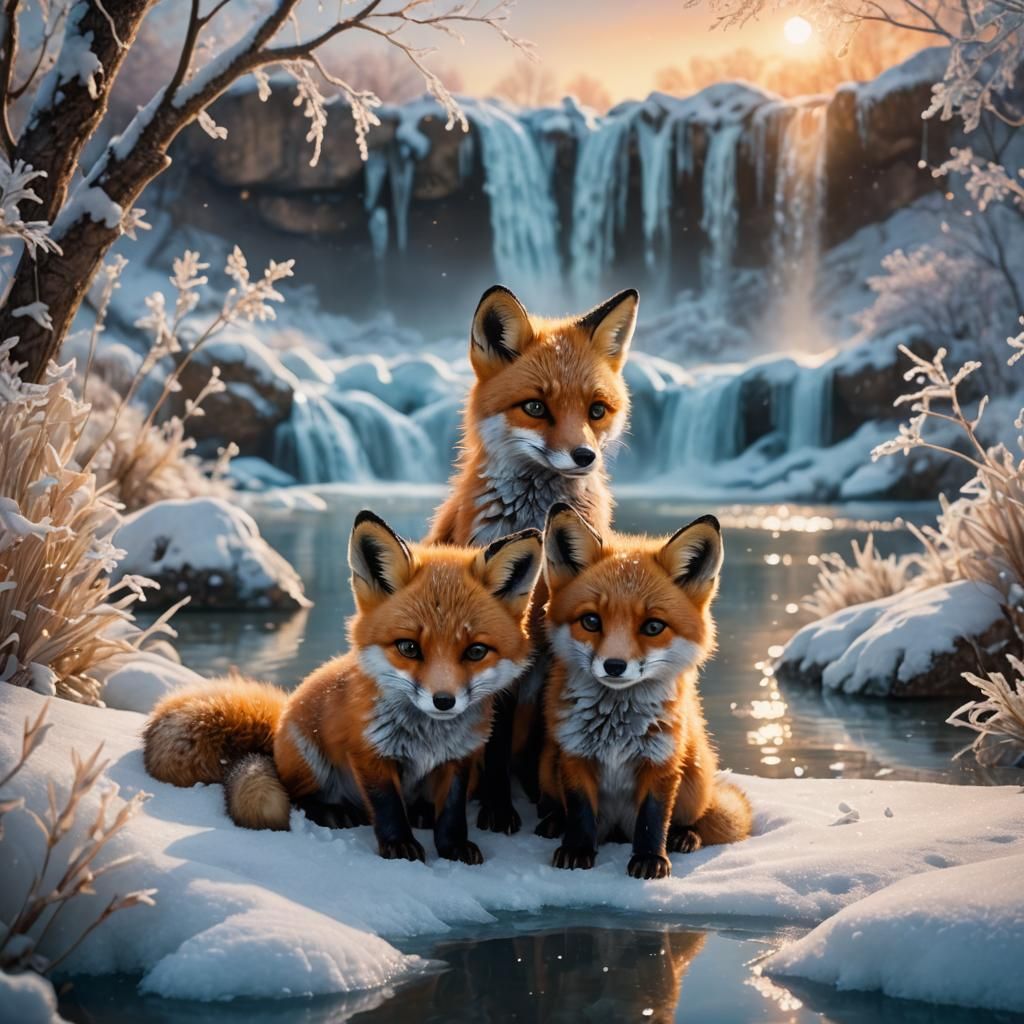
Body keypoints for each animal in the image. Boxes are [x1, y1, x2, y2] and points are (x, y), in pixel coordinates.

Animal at [144, 510, 542, 864]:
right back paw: (334, 811)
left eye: (475, 651)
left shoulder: (460, 758)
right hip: (309, 759)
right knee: (297, 795)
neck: (428, 739)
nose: (443, 701)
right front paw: (399, 846)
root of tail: (278, 724)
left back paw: (421, 812)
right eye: (409, 647)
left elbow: (452, 811)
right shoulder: (368, 753)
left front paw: (453, 846)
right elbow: (387, 806)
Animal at [425, 284, 639, 834]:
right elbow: (496, 744)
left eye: (596, 410)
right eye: (536, 407)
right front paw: (499, 807)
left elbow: (554, 741)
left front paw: (557, 809)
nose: (584, 456)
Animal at [537, 503, 752, 880]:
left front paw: (650, 859)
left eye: (653, 626)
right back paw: (553, 822)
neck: (616, 730)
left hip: (695, 774)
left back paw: (684, 836)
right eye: (591, 621)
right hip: (548, 765)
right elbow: (579, 812)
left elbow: (653, 819)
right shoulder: (574, 755)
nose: (614, 666)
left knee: (693, 819)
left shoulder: (662, 759)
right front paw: (577, 850)